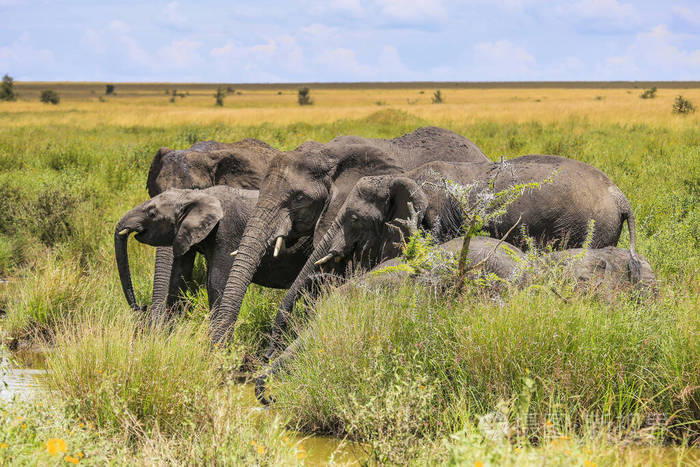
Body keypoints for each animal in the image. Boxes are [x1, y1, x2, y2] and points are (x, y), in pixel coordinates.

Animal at [115, 185, 312, 316]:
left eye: (152, 213)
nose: (141, 307)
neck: (198, 194)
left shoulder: (227, 232)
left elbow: (216, 283)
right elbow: (179, 277)